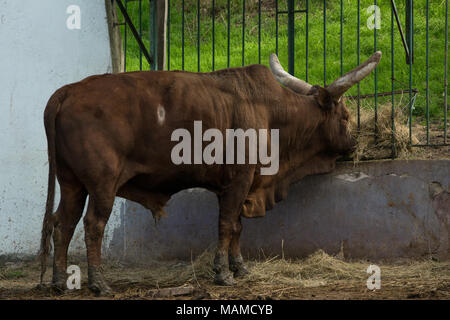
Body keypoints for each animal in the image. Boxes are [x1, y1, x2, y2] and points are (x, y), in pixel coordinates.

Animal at [40, 52, 382, 296]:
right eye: (345, 115)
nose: (354, 142)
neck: (271, 112)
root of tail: (67, 91)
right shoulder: (239, 180)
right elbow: (227, 225)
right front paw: (223, 272)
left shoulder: (240, 184)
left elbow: (237, 227)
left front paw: (240, 267)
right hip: (102, 184)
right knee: (92, 225)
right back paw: (99, 283)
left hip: (72, 184)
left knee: (63, 223)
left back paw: (59, 281)